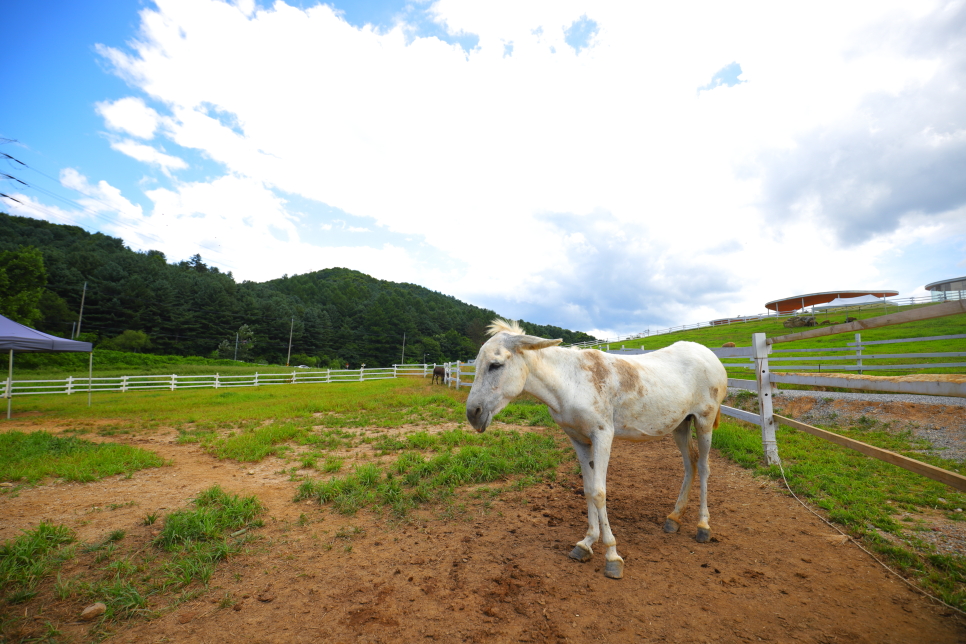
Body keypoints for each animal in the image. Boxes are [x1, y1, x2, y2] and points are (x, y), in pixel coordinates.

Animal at [466, 320, 728, 580]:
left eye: (496, 365)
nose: (473, 414)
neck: (571, 382)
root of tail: (711, 356)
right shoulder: (579, 440)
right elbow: (588, 489)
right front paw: (586, 544)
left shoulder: (603, 435)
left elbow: (600, 492)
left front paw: (612, 557)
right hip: (681, 425)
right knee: (690, 464)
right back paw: (674, 518)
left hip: (704, 422)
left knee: (704, 467)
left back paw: (703, 526)